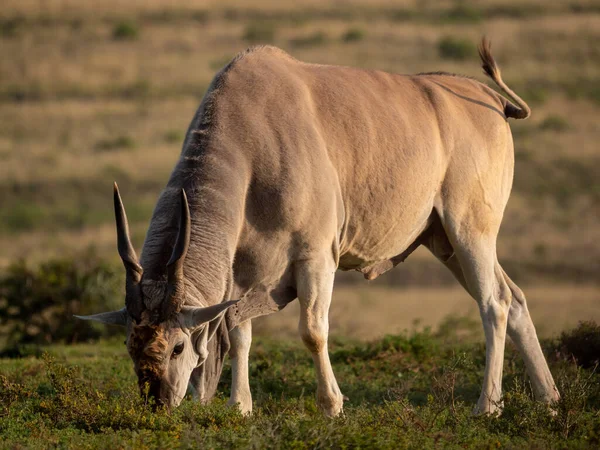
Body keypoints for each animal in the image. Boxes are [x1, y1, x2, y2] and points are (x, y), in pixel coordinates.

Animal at [77, 37, 560, 414]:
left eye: (177, 346)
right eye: (130, 345)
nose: (157, 402)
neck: (251, 143)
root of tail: (491, 99)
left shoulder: (315, 258)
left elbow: (312, 331)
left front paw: (332, 406)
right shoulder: (243, 274)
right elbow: (239, 332)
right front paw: (240, 407)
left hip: (469, 231)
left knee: (494, 303)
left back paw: (488, 406)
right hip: (443, 241)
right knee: (515, 297)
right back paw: (549, 400)